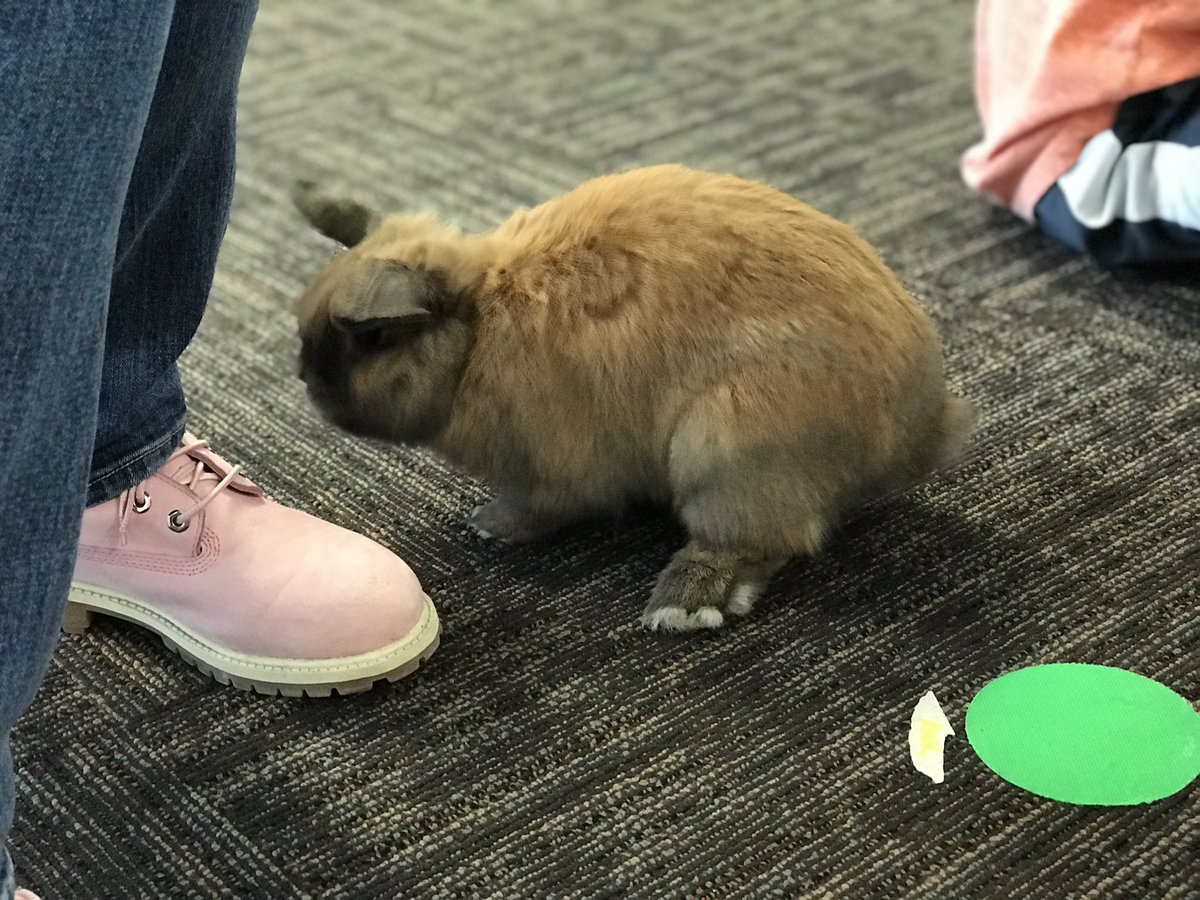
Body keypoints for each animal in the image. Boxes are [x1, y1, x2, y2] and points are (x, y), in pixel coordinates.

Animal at [292, 164, 976, 632]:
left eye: (372, 340)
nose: (305, 379)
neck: (478, 328)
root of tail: (920, 430)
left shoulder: (548, 468)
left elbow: (539, 506)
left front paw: (492, 526)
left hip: (725, 450)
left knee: (762, 540)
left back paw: (684, 605)